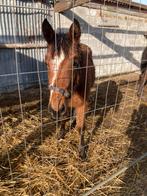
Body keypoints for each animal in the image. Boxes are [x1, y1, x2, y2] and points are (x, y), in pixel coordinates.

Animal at [42, 18, 95, 159]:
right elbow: (64, 118)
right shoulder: (64, 104)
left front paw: (82, 151)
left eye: (75, 63)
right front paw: (61, 133)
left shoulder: (82, 104)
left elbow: (81, 127)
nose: (54, 110)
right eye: (45, 62)